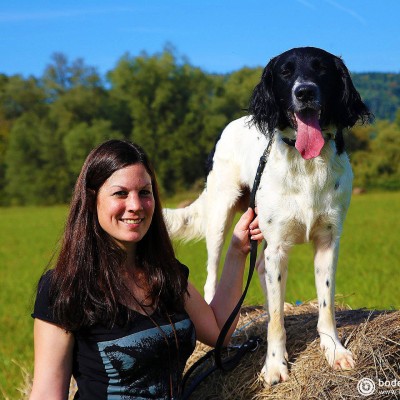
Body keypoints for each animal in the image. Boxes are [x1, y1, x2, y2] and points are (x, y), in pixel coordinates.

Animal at [163, 47, 372, 384]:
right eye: (285, 72)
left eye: (321, 69)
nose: (304, 92)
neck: (306, 162)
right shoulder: (277, 247)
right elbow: (274, 318)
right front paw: (275, 365)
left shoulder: (328, 241)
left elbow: (326, 303)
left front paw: (334, 350)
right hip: (220, 216)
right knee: (211, 278)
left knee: (258, 266)